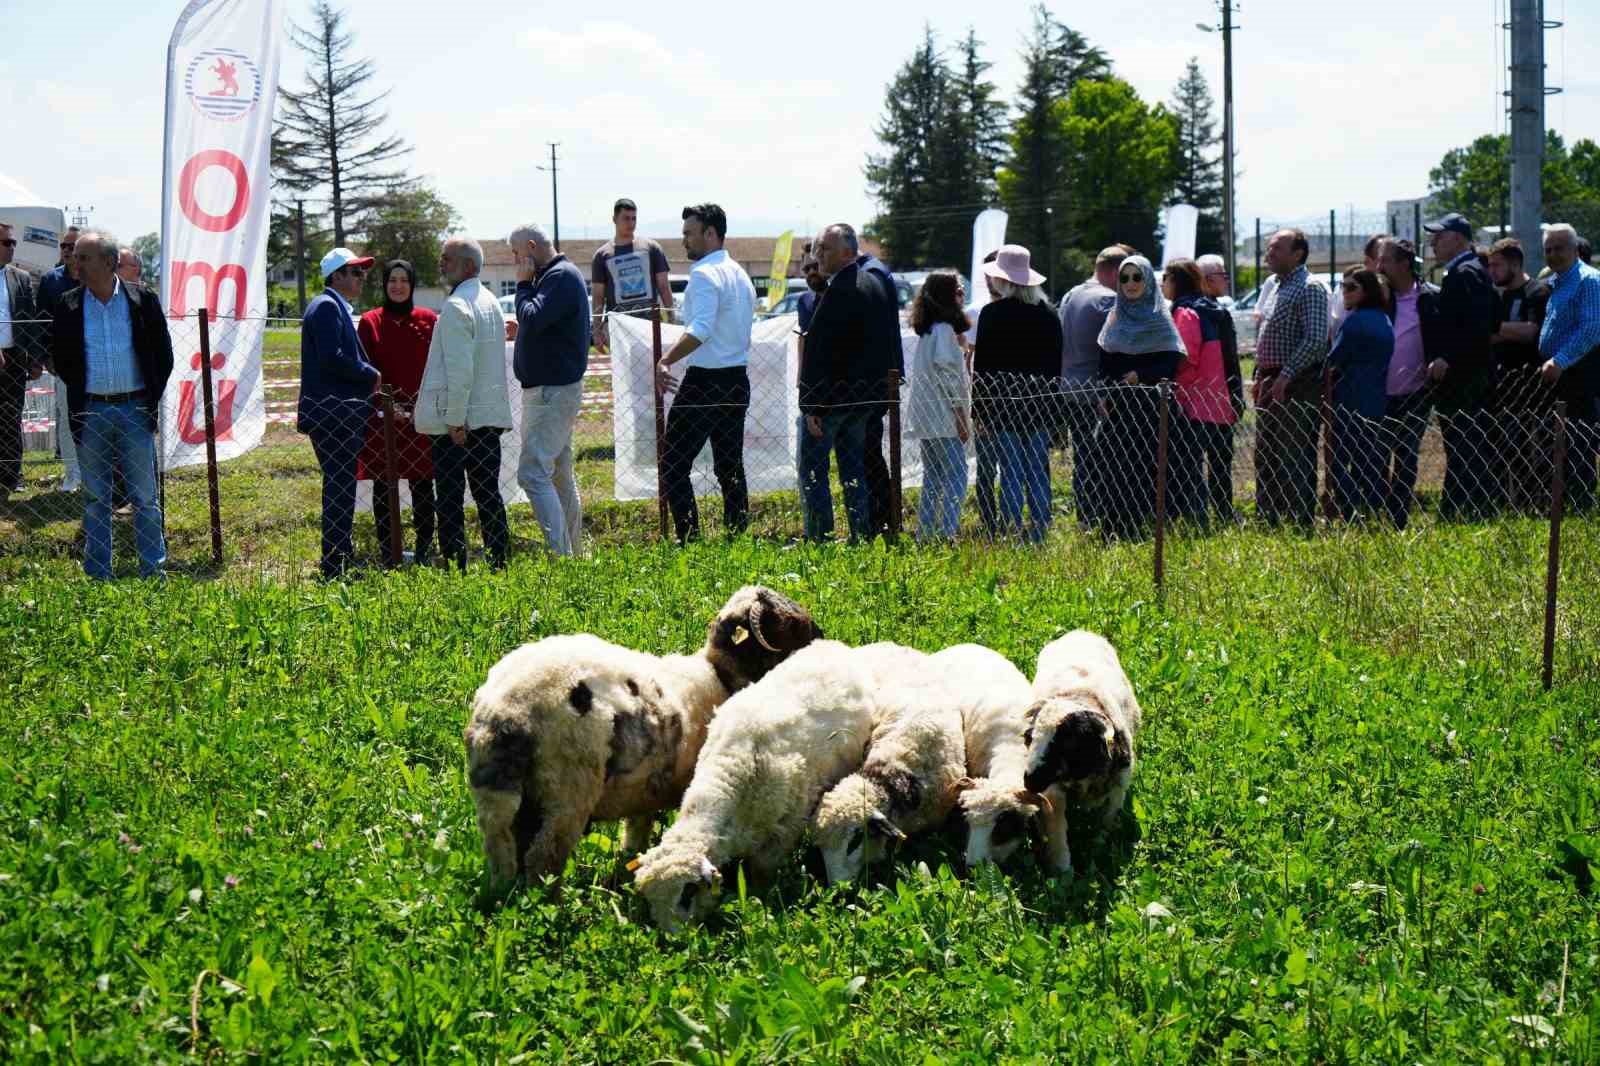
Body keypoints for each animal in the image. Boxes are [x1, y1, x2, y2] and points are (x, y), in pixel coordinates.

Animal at [460, 585, 819, 883]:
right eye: (790, 624)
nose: (822, 637)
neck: (719, 676)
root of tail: (508, 711)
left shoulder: (648, 788)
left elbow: (637, 827)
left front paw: (628, 856)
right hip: (566, 792)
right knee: (542, 859)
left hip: (497, 798)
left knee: (503, 853)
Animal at [627, 640, 876, 928]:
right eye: (651, 901)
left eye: (686, 894)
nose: (673, 937)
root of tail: (831, 645)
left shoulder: (784, 830)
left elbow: (761, 874)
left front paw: (760, 901)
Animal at [1017, 627, 1145, 870]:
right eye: (1029, 738)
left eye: (1068, 744)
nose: (1029, 781)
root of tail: (1079, 632)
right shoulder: (1054, 794)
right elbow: (1058, 833)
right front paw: (1062, 870)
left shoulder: (1117, 792)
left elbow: (1102, 830)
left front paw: (1094, 855)